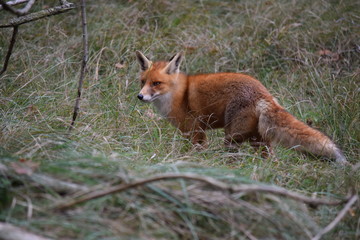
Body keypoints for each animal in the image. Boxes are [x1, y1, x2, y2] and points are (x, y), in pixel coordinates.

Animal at [134, 50, 346, 163]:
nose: (140, 96)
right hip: (258, 140)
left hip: (232, 137)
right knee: (271, 160)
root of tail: (264, 93)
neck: (178, 95)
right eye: (143, 82)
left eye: (156, 83)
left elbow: (196, 152)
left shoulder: (196, 131)